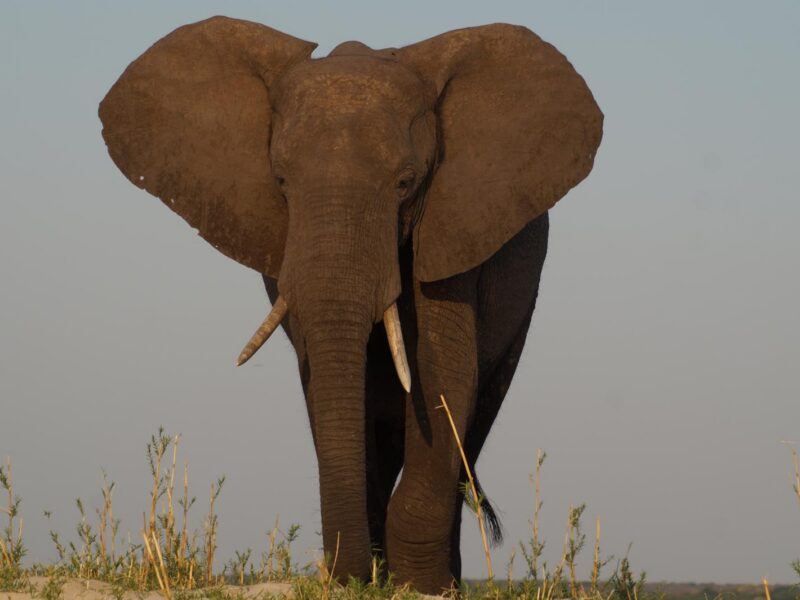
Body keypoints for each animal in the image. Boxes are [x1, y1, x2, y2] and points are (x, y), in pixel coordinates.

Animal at [99, 16, 602, 594]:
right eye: (281, 181)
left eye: (407, 183)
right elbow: (329, 380)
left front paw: (419, 585)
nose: (348, 575)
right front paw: (374, 577)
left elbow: (442, 371)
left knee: (474, 425)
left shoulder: (453, 226)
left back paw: (444, 581)